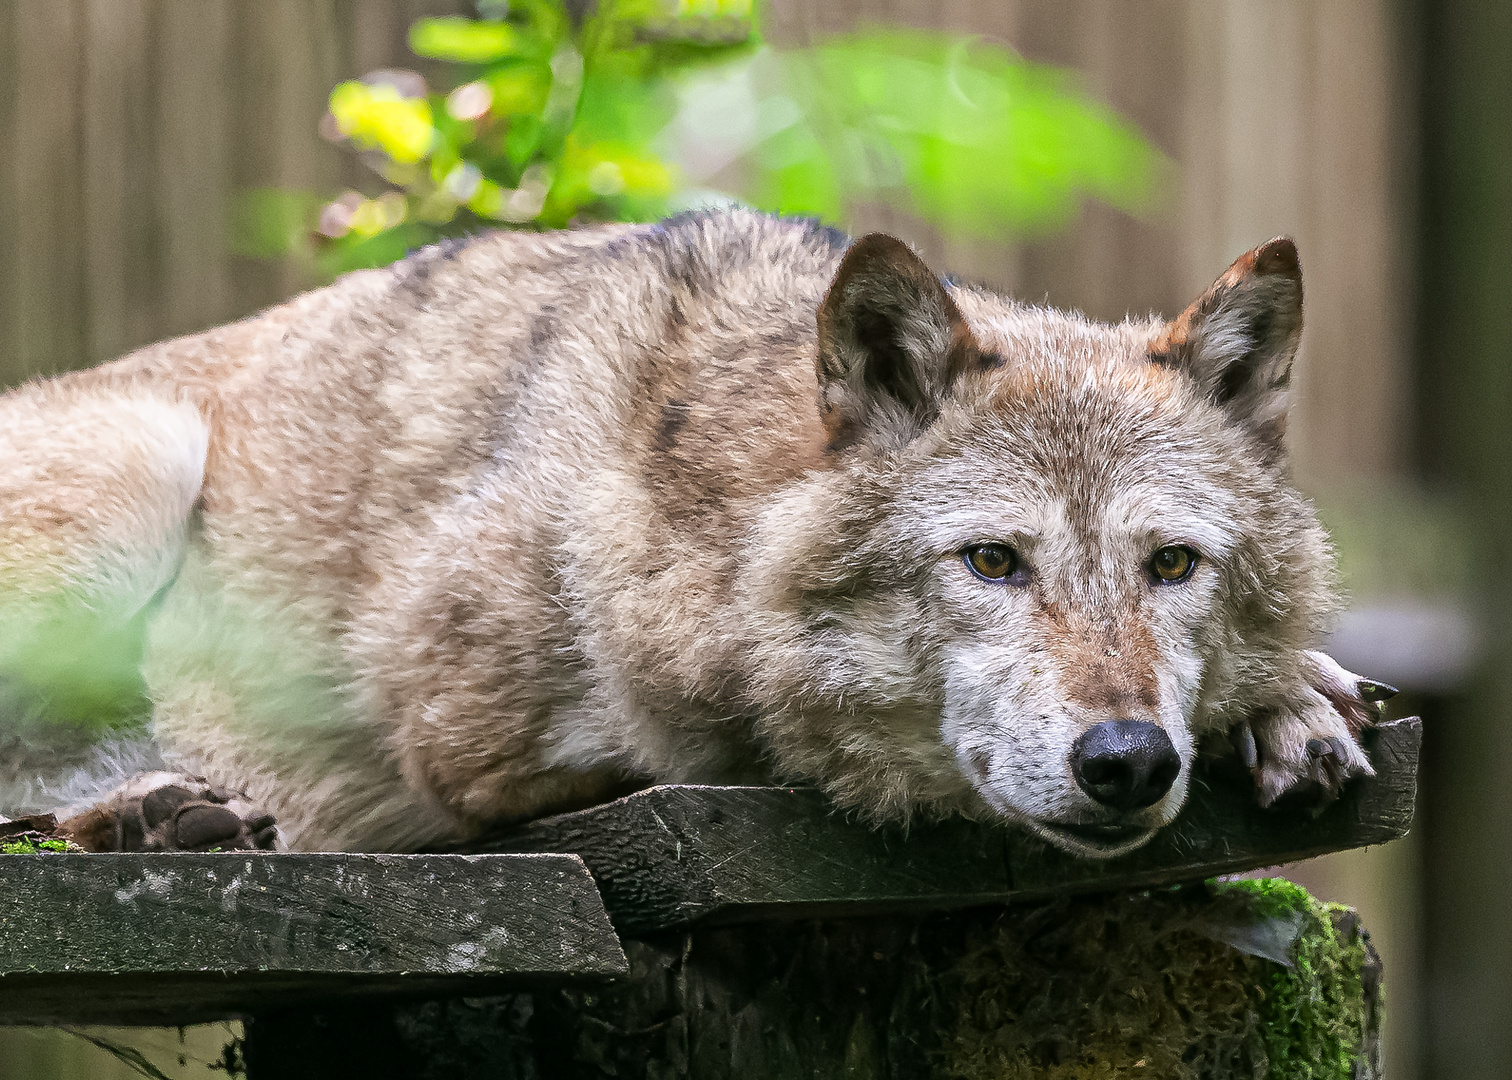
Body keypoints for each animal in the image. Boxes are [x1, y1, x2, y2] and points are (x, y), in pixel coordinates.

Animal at [0, 205, 1391, 853]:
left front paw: (1297, 697)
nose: (1128, 760)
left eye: (1173, 566)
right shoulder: (463, 738)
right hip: (140, 471)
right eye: (991, 562)